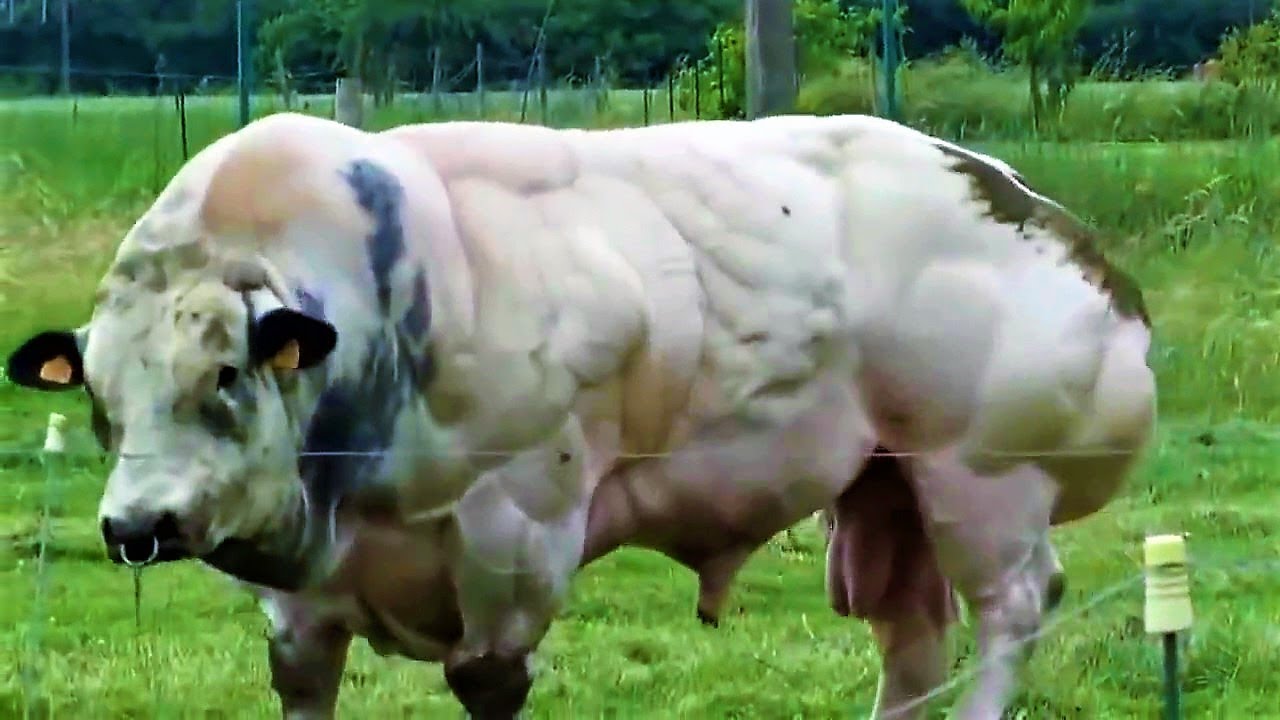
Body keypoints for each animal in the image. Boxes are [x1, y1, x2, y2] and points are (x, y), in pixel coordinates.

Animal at [4, 111, 1156, 719]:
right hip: (885, 489)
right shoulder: (299, 603)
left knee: (1011, 610)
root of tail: (1031, 206)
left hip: (984, 478)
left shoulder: (514, 542)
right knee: (911, 636)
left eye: (226, 378)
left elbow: (487, 677)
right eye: (98, 397)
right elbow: (303, 678)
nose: (136, 525)